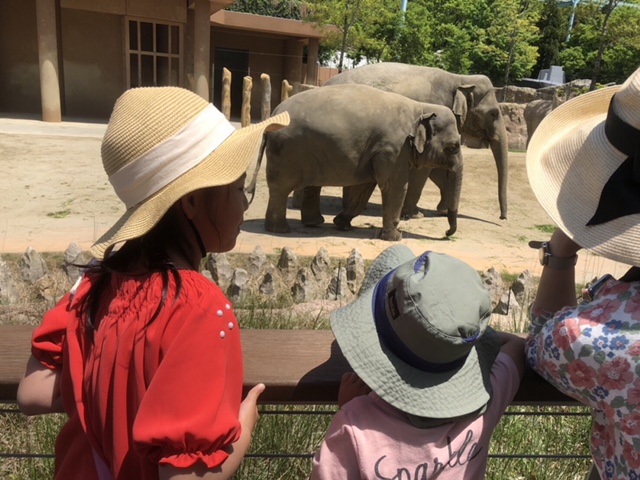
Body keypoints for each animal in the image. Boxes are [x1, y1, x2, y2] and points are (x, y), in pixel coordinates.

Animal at [258, 83, 462, 240]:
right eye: (453, 146)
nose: (446, 233)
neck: (421, 107)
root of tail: (274, 113)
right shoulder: (394, 148)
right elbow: (394, 186)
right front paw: (395, 238)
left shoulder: (377, 152)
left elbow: (365, 187)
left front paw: (342, 224)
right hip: (286, 152)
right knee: (280, 189)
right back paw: (280, 229)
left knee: (309, 185)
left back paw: (313, 223)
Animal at [324, 62, 510, 220]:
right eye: (493, 113)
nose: (502, 217)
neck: (461, 79)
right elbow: (425, 168)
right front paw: (416, 215)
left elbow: (437, 167)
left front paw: (442, 210)